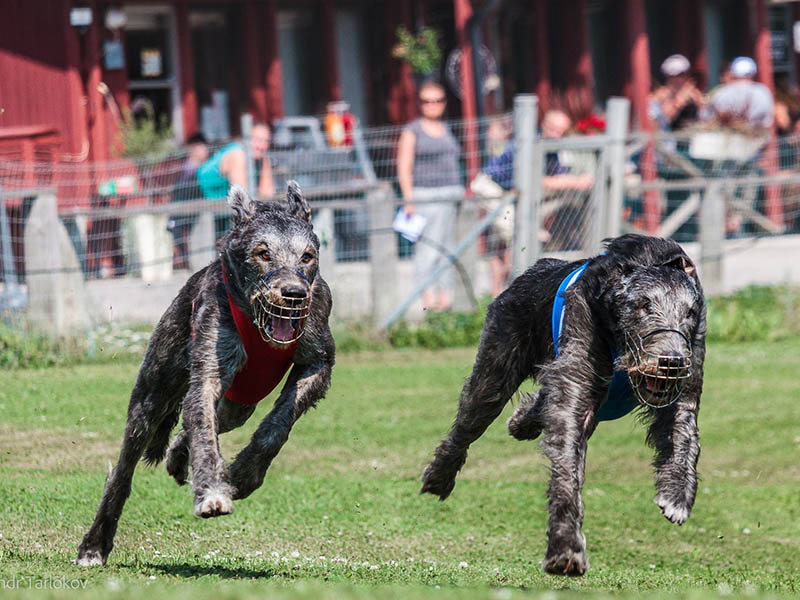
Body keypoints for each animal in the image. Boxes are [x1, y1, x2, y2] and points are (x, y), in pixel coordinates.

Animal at [75, 183, 334, 568]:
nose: (293, 294)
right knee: (126, 466)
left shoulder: (317, 361)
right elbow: (203, 431)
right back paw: (95, 544)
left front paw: (244, 474)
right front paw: (212, 491)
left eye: (307, 256)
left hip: (240, 403)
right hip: (153, 392)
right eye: (263, 253)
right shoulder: (210, 365)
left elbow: (278, 424)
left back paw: (178, 459)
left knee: (202, 422)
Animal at [418, 234, 708, 576]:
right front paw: (566, 546)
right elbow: (568, 445)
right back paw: (439, 475)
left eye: (689, 312)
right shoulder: (582, 347)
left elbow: (683, 428)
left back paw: (522, 421)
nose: (671, 362)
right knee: (475, 413)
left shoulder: (691, 360)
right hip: (500, 350)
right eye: (643, 305)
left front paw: (677, 494)